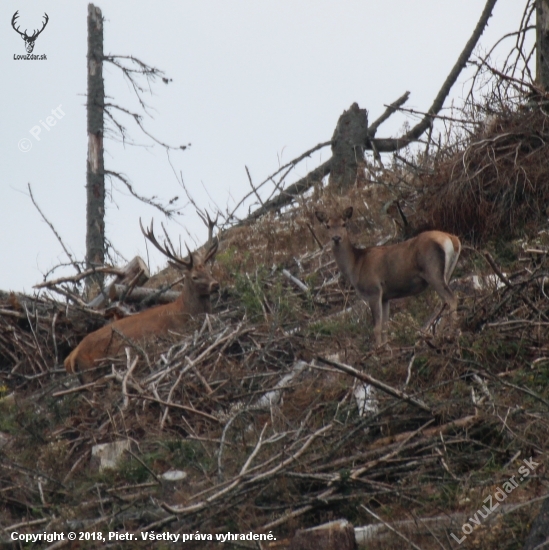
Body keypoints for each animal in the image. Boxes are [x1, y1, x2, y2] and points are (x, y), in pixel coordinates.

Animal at [64, 218, 218, 382]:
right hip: (90, 368)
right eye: (194, 277)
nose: (216, 284)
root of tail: (70, 358)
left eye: (208, 271)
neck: (184, 311)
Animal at [314, 209, 460, 348]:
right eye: (327, 225)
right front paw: (386, 348)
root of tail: (452, 239)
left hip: (432, 271)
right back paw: (438, 336)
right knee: (444, 302)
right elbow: (385, 326)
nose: (336, 238)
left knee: (451, 299)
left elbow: (377, 327)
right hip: (447, 272)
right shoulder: (385, 297)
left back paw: (450, 335)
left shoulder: (373, 290)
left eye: (344, 224)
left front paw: (378, 350)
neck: (356, 266)